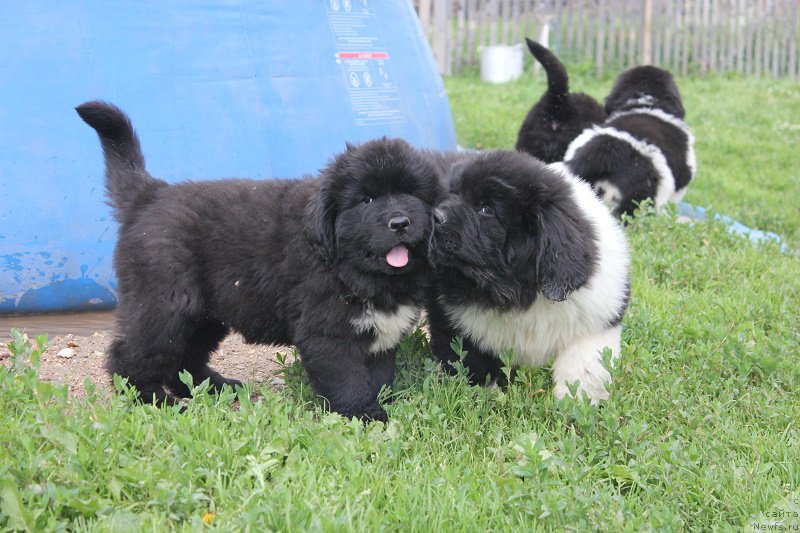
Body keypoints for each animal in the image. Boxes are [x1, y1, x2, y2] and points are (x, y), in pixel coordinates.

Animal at [77, 98, 440, 420]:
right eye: (366, 200)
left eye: (412, 194)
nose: (399, 222)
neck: (349, 266)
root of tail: (150, 194)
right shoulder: (327, 333)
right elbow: (348, 379)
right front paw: (365, 415)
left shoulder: (380, 336)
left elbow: (379, 375)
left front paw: (382, 402)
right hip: (164, 304)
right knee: (129, 358)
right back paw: (155, 402)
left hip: (205, 314)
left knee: (183, 358)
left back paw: (215, 387)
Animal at [428, 150, 628, 404]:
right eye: (453, 194)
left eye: (486, 209)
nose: (435, 216)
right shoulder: (451, 320)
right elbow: (470, 362)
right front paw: (486, 398)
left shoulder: (597, 320)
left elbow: (584, 366)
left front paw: (574, 403)